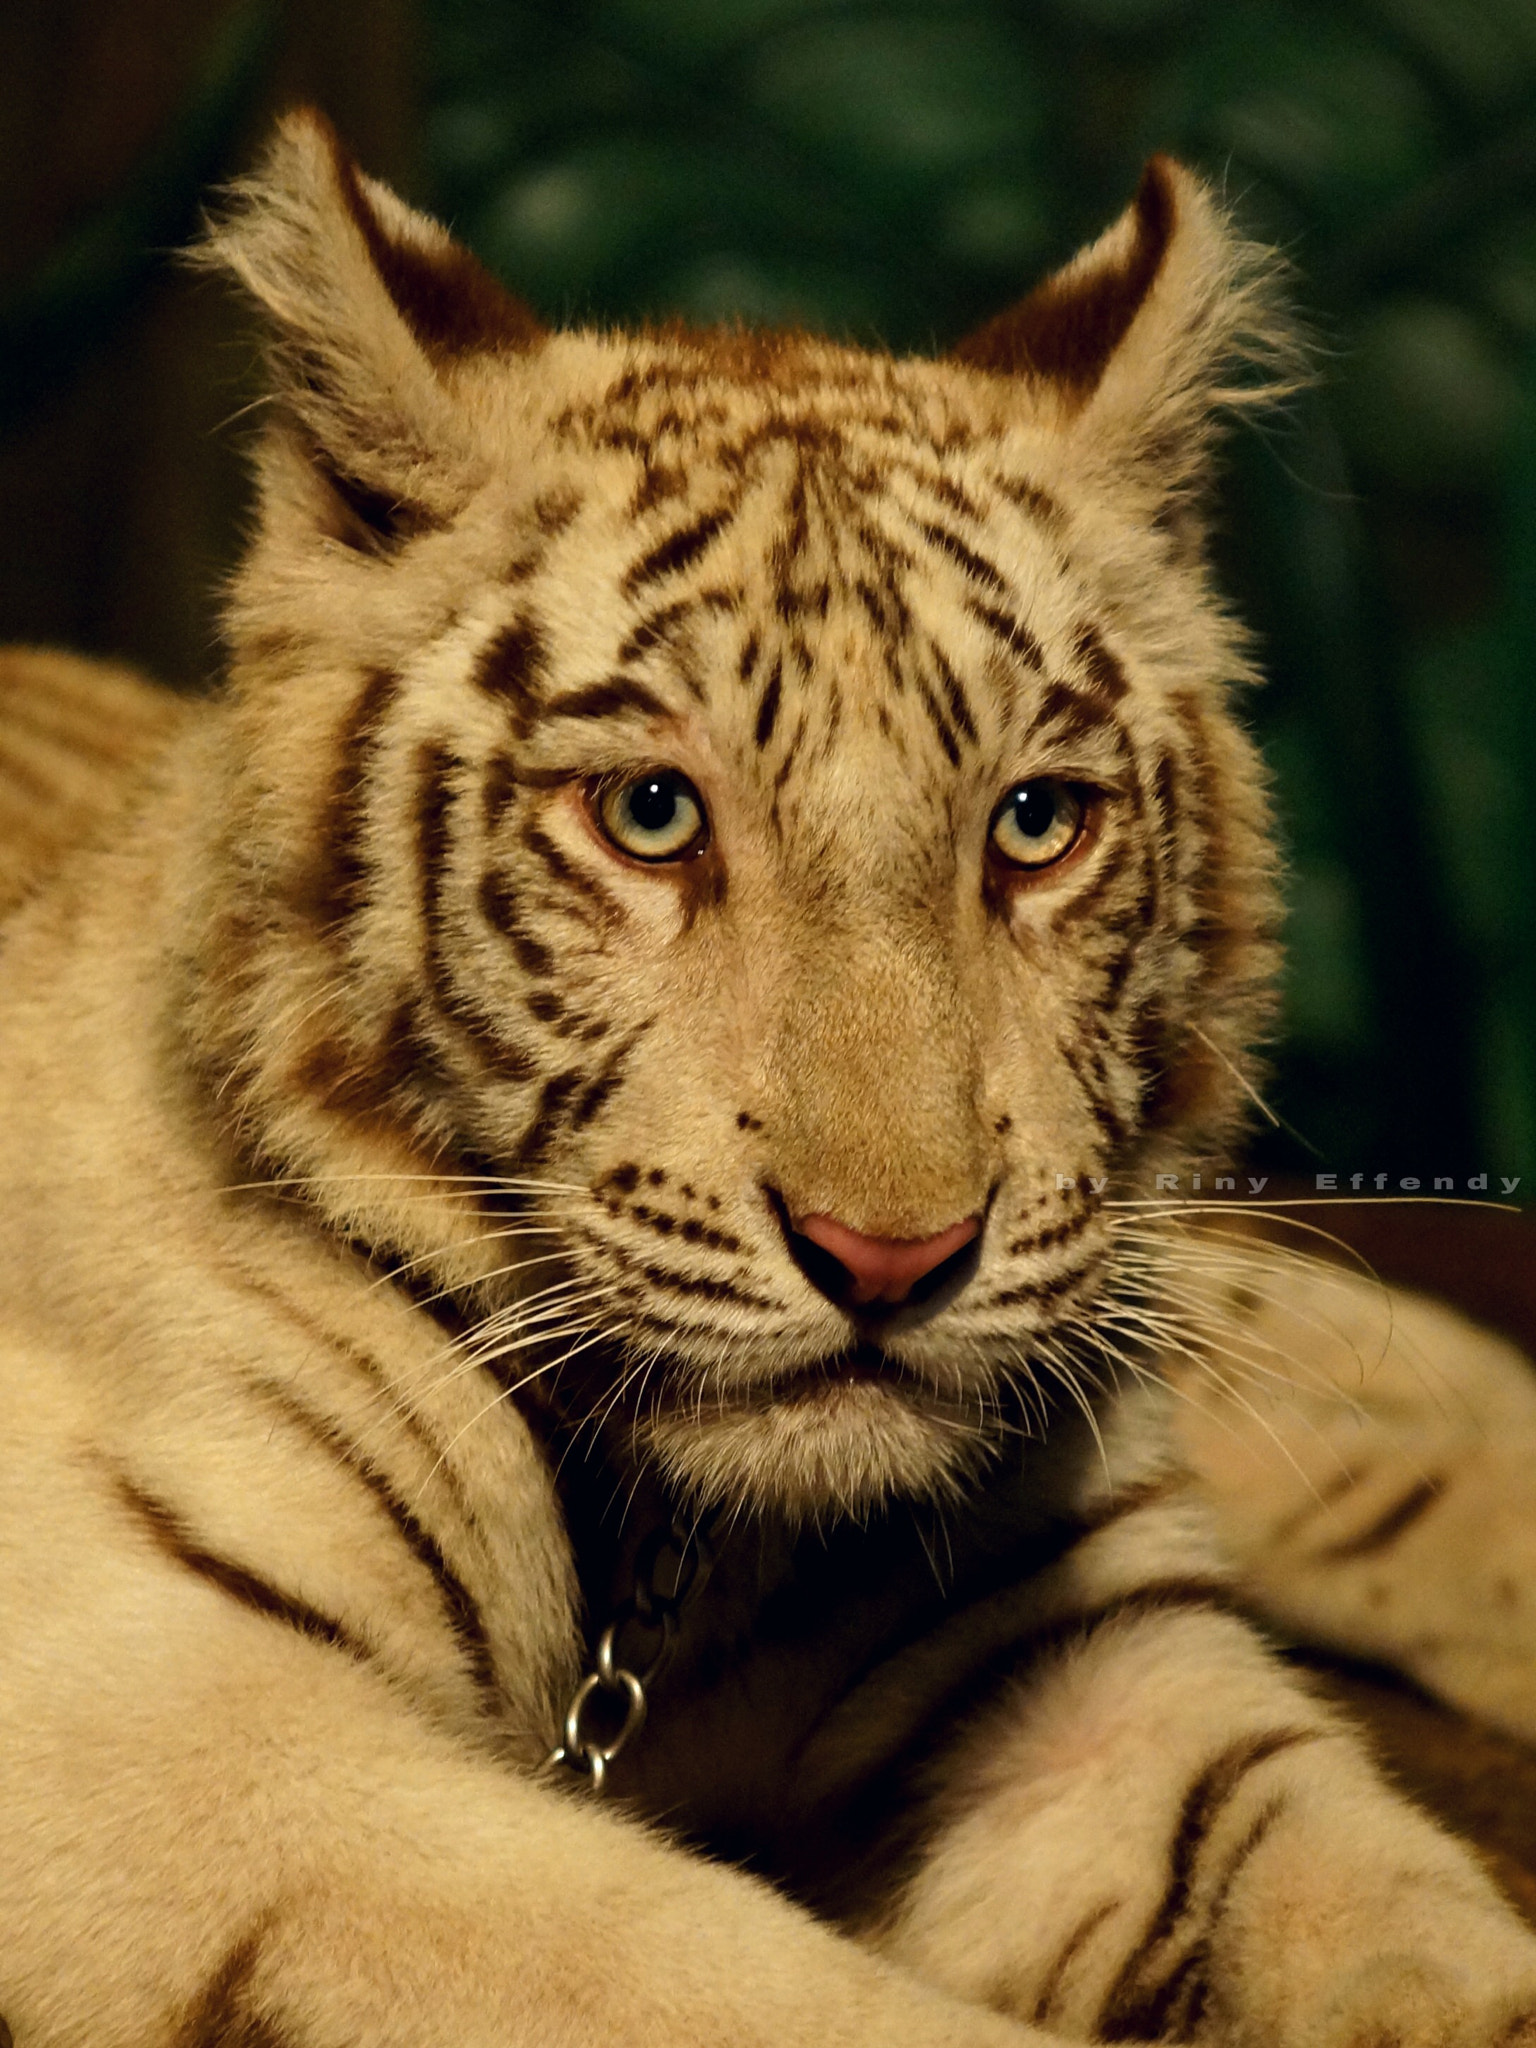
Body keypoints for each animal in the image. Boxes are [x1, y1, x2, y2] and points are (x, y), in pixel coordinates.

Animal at [4, 104, 1536, 2048]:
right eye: (651, 812)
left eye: (1036, 823)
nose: (892, 1259)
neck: (679, 1568)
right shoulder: (159, 1711)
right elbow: (728, 1985)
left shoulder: (1089, 1689)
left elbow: (1386, 1911)